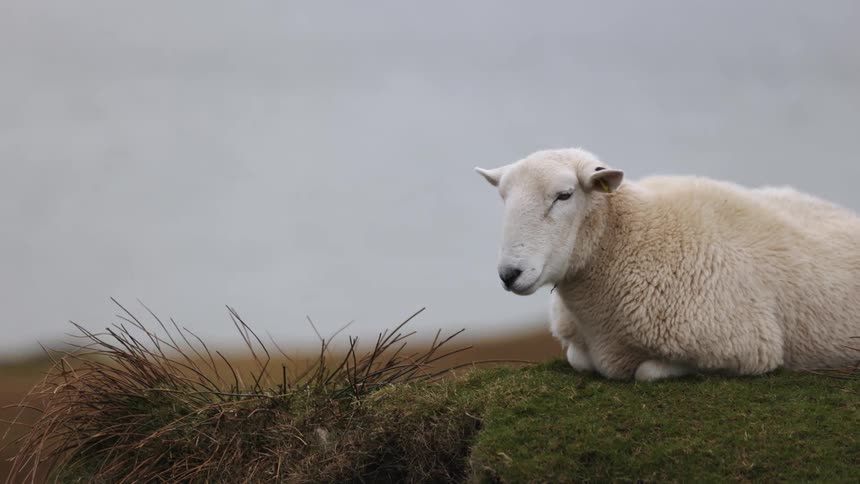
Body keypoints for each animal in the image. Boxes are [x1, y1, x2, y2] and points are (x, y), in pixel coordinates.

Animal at [475, 148, 860, 381]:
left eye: (564, 195)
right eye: (504, 198)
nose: (509, 274)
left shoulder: (748, 347)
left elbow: (647, 372)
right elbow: (578, 359)